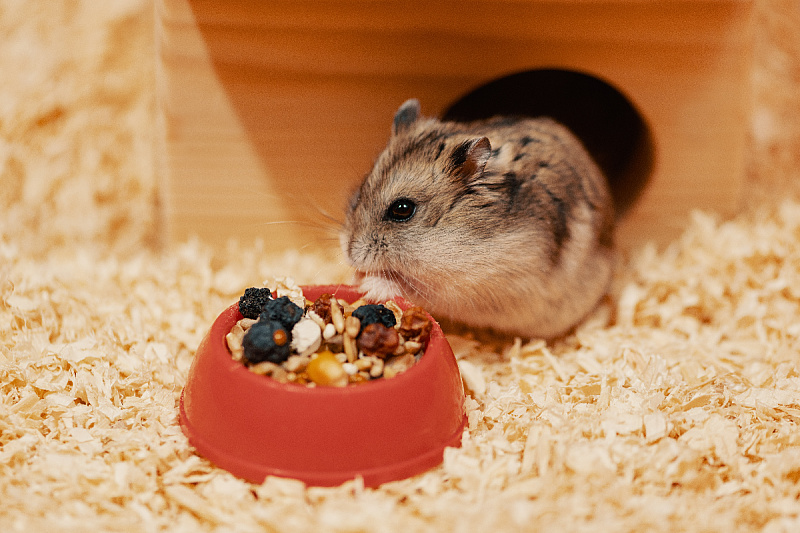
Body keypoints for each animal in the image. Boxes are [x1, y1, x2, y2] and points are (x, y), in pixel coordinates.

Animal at [341, 99, 615, 339]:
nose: (351, 255)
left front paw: (367, 285)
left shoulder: (476, 288)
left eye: (402, 209)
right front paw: (354, 277)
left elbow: (412, 287)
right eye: (362, 189)